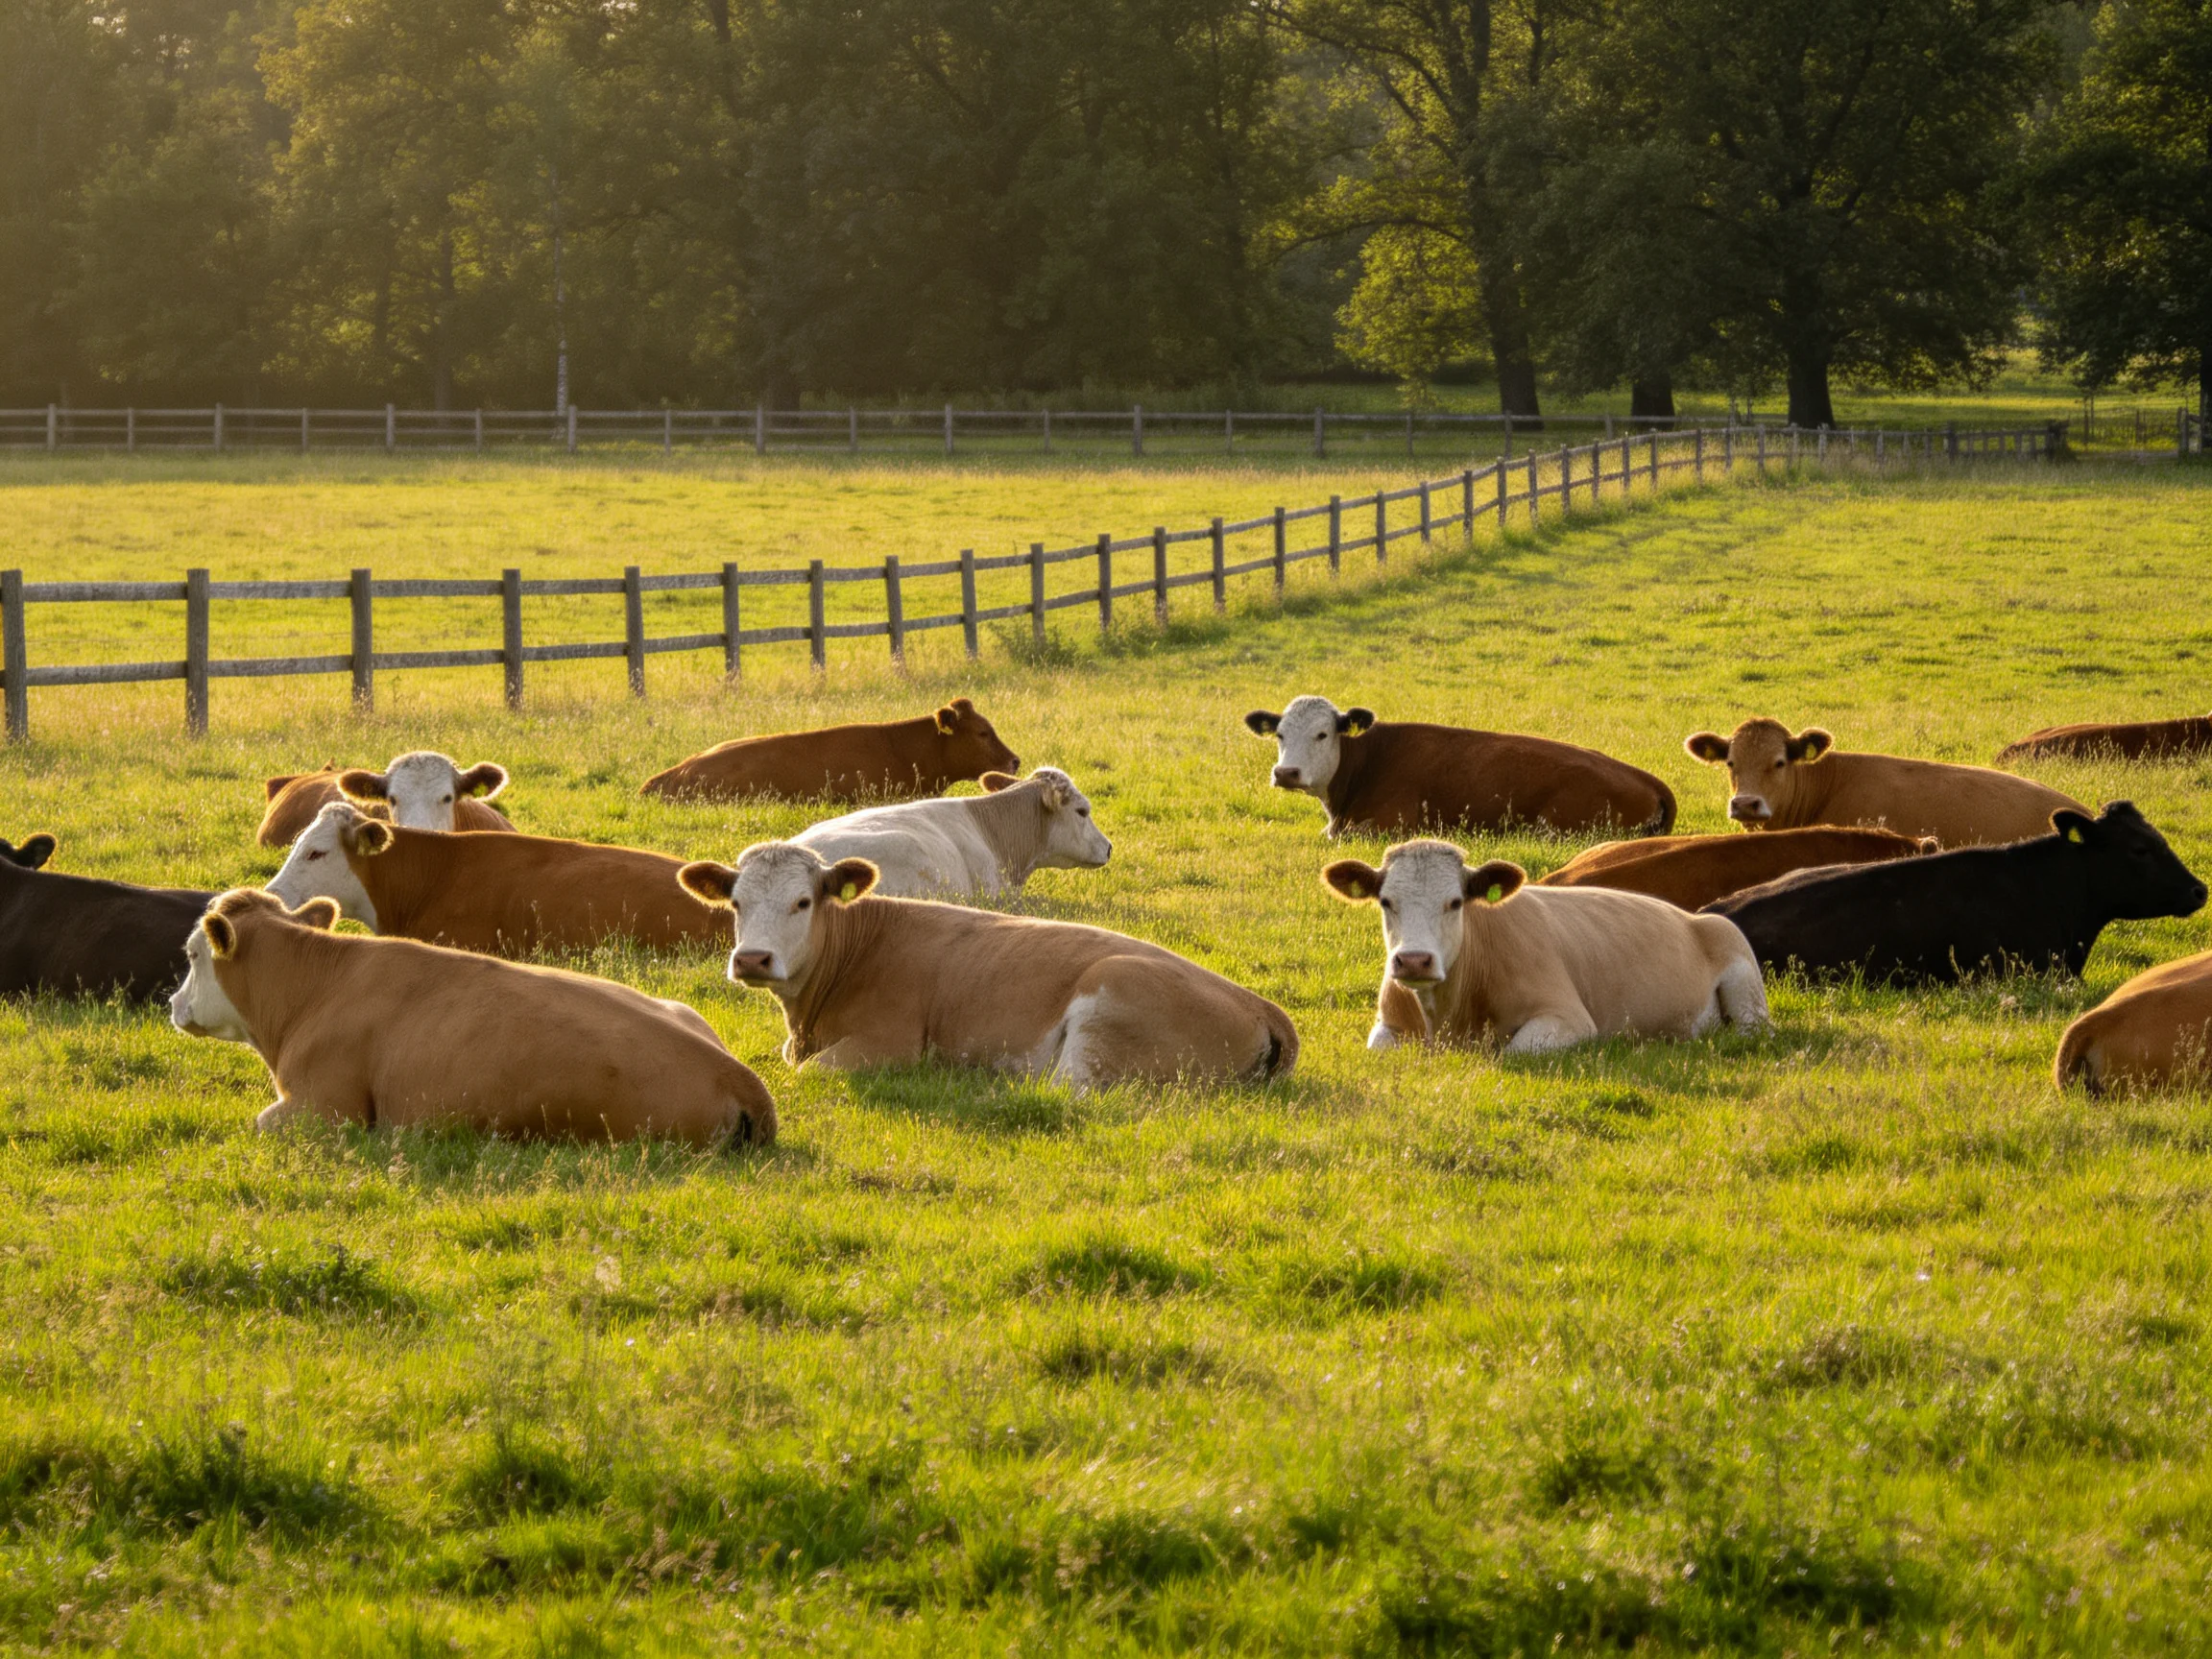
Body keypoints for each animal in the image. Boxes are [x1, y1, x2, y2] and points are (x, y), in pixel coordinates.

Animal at [170, 888, 774, 1145]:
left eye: (193, 954)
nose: (173, 1005)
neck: (314, 987)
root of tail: (736, 1075)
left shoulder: (326, 1109)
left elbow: (260, 1122)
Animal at [675, 840, 1296, 1091]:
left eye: (803, 902)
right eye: (736, 903)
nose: (752, 958)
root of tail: (1260, 1003)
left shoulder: (885, 1044)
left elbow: (803, 1072)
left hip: (1109, 996)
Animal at [1323, 838, 1768, 1053]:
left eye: (1454, 902)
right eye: (1386, 901)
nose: (1414, 960)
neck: (1447, 1018)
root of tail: (1693, 917)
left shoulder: (1570, 1018)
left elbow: (1512, 1050)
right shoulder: (1387, 1025)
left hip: (1745, 983)